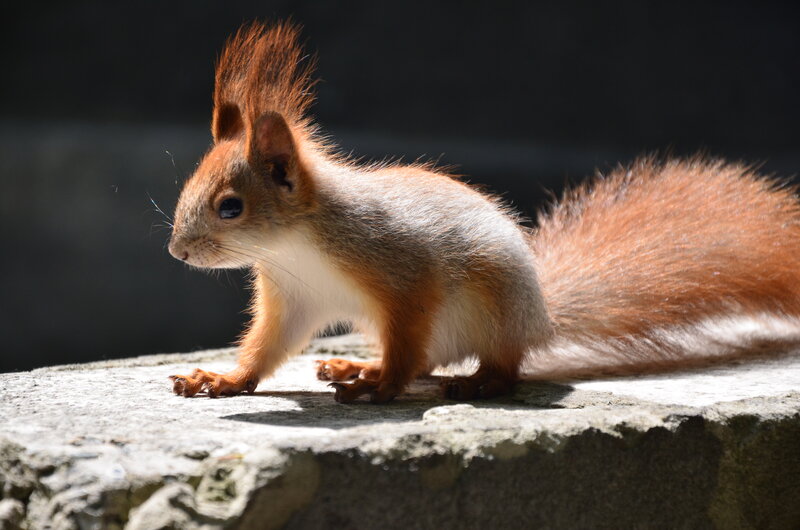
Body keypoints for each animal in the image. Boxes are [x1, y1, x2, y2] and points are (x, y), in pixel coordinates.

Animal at [167, 21, 800, 403]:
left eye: (230, 207)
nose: (177, 251)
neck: (297, 247)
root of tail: (540, 316)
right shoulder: (294, 298)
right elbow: (267, 345)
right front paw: (224, 378)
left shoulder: (403, 271)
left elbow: (407, 334)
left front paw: (382, 386)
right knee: (429, 361)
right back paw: (354, 366)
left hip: (494, 299)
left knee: (493, 366)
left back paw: (470, 382)